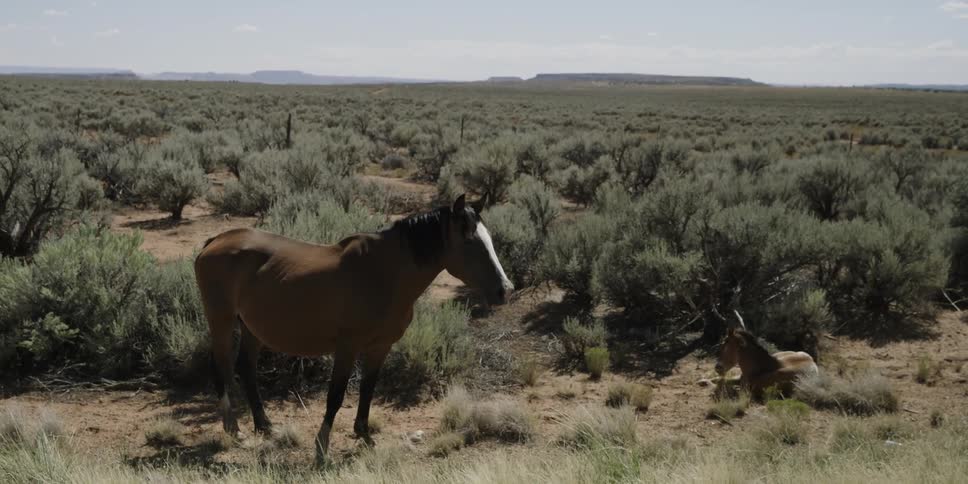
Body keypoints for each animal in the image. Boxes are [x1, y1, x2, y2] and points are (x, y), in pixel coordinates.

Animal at [193, 194, 513, 465]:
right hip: (221, 320)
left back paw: (264, 425)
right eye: (470, 242)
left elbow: (368, 390)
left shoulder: (380, 346)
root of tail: (214, 241)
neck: (384, 274)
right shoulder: (347, 348)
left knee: (246, 368)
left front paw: (364, 435)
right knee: (221, 365)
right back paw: (233, 428)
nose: (505, 290)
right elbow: (336, 396)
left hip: (251, 328)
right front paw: (321, 448)